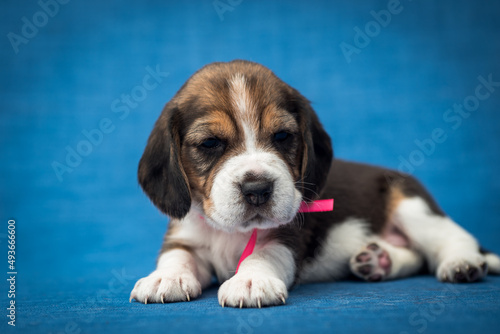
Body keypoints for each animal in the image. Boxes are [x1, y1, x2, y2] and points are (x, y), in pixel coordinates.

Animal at [130, 59, 500, 308]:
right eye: (209, 144)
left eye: (282, 136)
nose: (257, 189)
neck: (229, 233)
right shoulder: (184, 235)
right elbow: (177, 256)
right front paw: (166, 277)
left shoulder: (286, 237)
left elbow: (262, 254)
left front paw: (250, 280)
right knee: (416, 257)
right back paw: (380, 261)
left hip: (412, 207)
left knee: (452, 241)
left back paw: (463, 264)